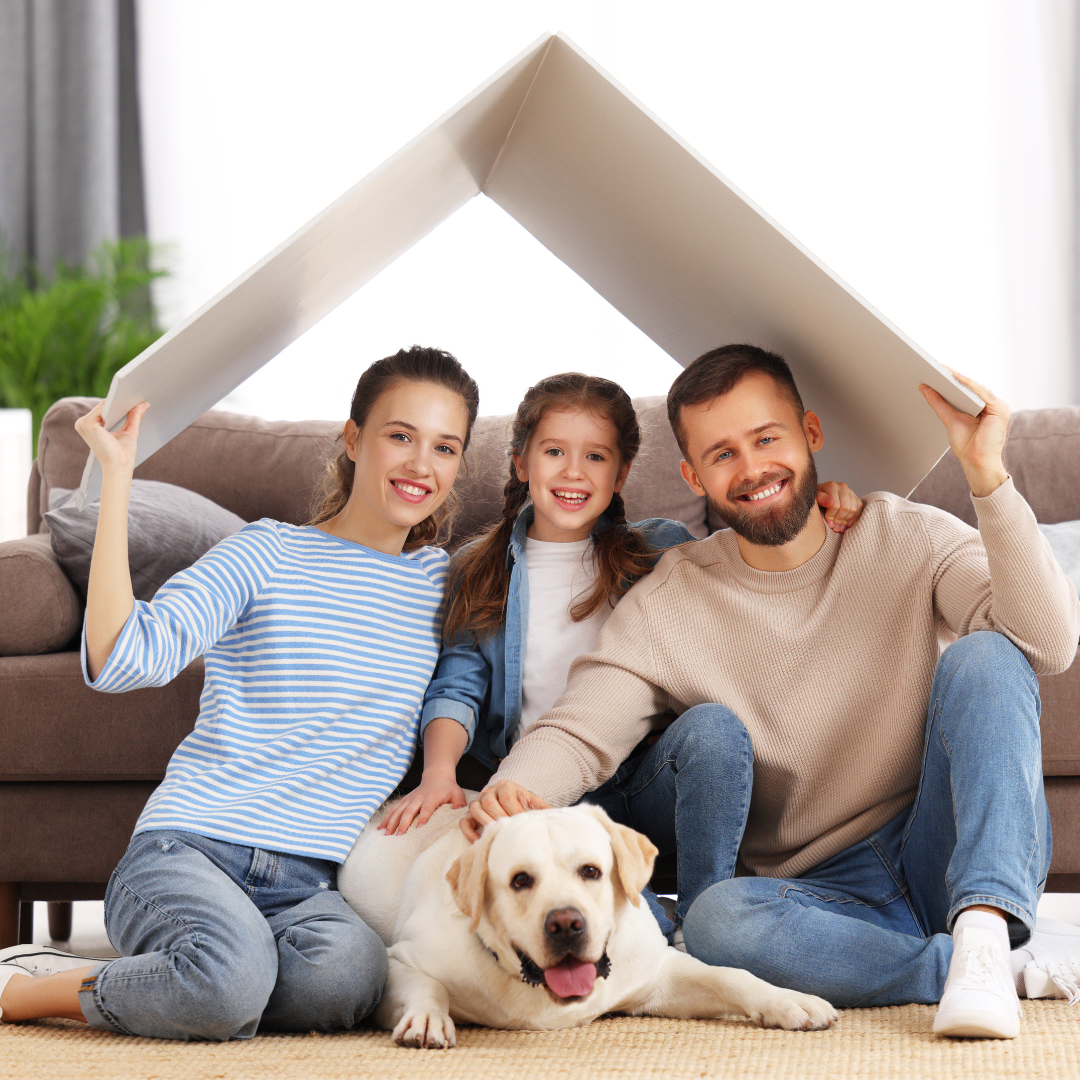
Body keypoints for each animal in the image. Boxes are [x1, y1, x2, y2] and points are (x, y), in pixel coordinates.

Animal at [336, 803, 833, 1045]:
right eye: (520, 880)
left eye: (591, 871)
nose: (565, 924)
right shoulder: (397, 960)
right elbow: (427, 985)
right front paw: (427, 1018)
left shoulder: (657, 977)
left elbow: (731, 976)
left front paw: (789, 1001)